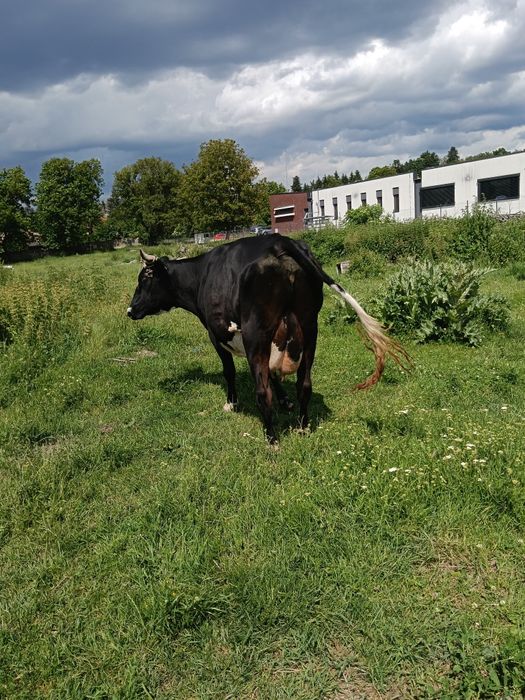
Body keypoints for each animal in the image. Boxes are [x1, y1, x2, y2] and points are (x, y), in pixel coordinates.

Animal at [127, 234, 411, 444]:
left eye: (144, 279)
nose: (130, 310)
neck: (200, 277)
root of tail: (281, 242)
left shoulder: (216, 334)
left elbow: (230, 371)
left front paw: (231, 403)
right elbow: (274, 373)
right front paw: (285, 400)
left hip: (257, 331)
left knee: (262, 392)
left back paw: (271, 439)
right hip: (310, 326)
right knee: (304, 384)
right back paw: (302, 426)